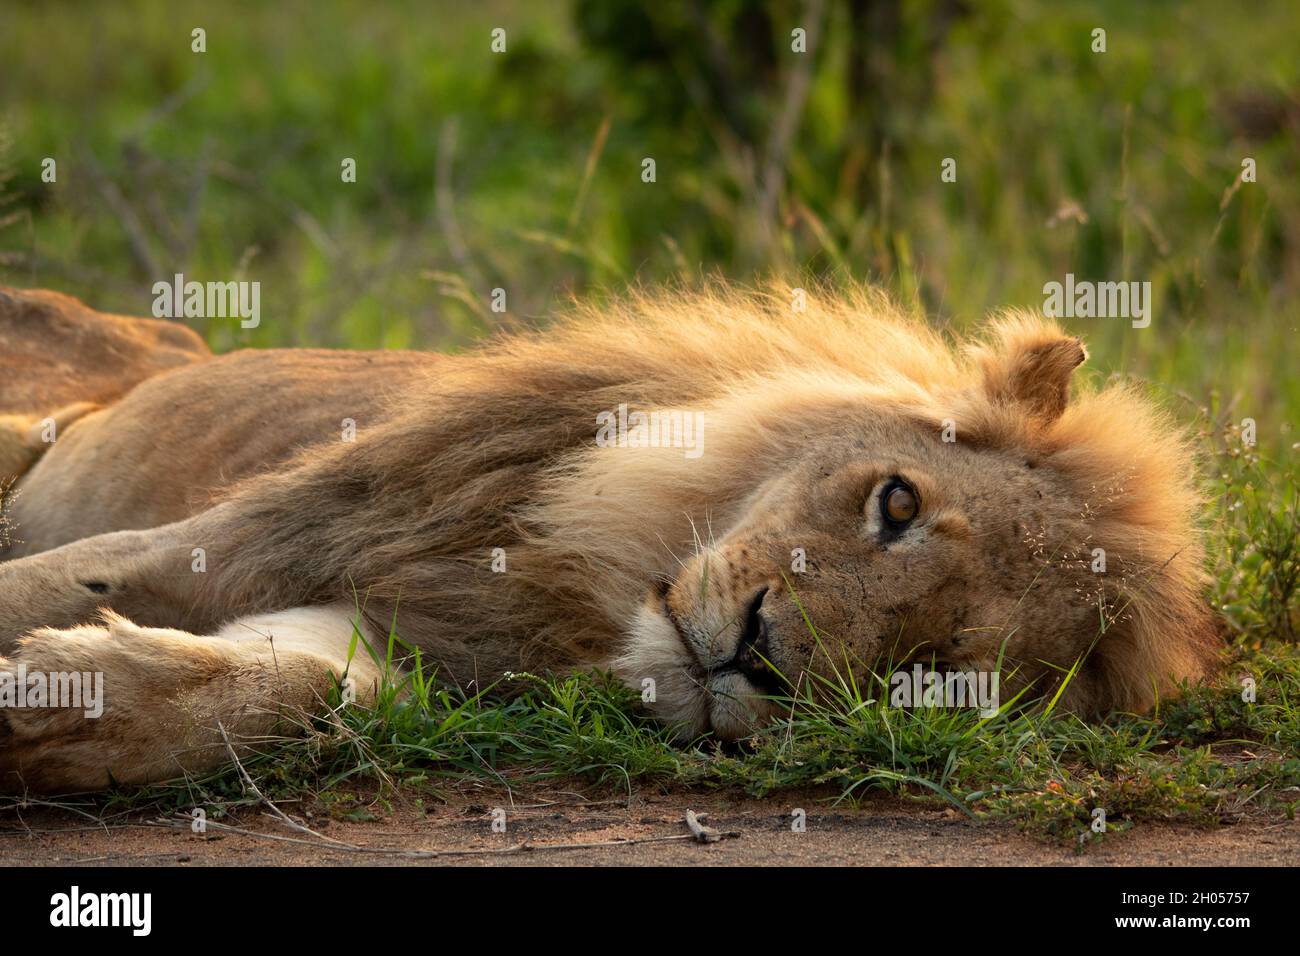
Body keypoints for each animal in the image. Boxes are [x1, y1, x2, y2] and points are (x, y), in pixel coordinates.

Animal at [0, 283, 1218, 792]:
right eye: (898, 504)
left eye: (939, 672)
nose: (755, 658)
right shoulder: (296, 528)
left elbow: (294, 686)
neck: (589, 586)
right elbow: (58, 581)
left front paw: (59, 712)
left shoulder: (432, 629)